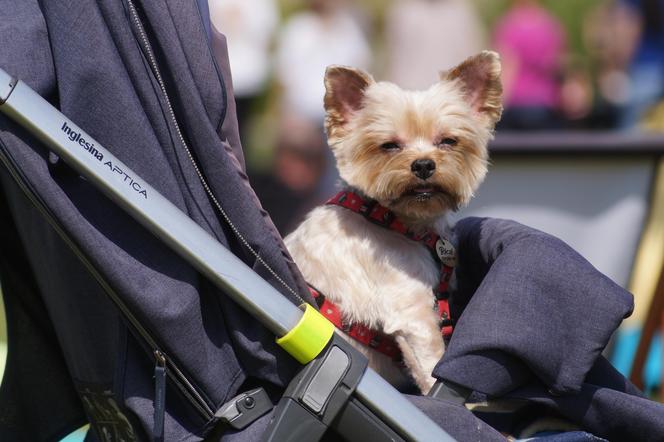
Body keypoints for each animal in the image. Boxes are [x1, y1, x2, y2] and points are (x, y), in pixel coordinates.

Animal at [282, 51, 500, 394]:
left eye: (448, 141)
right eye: (389, 146)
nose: (423, 164)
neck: (393, 220)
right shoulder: (411, 312)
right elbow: (432, 365)